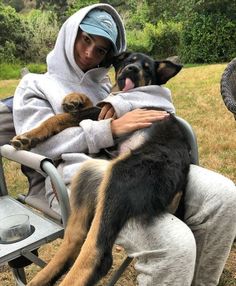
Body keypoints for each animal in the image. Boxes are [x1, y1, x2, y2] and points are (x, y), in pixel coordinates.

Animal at [11, 52, 192, 284]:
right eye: (129, 60)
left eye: (147, 68)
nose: (132, 69)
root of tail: (178, 188)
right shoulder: (101, 110)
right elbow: (91, 102)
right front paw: (74, 99)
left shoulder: (101, 113)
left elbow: (60, 117)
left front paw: (28, 137)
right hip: (89, 171)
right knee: (76, 237)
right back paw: (42, 278)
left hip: (120, 177)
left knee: (98, 251)